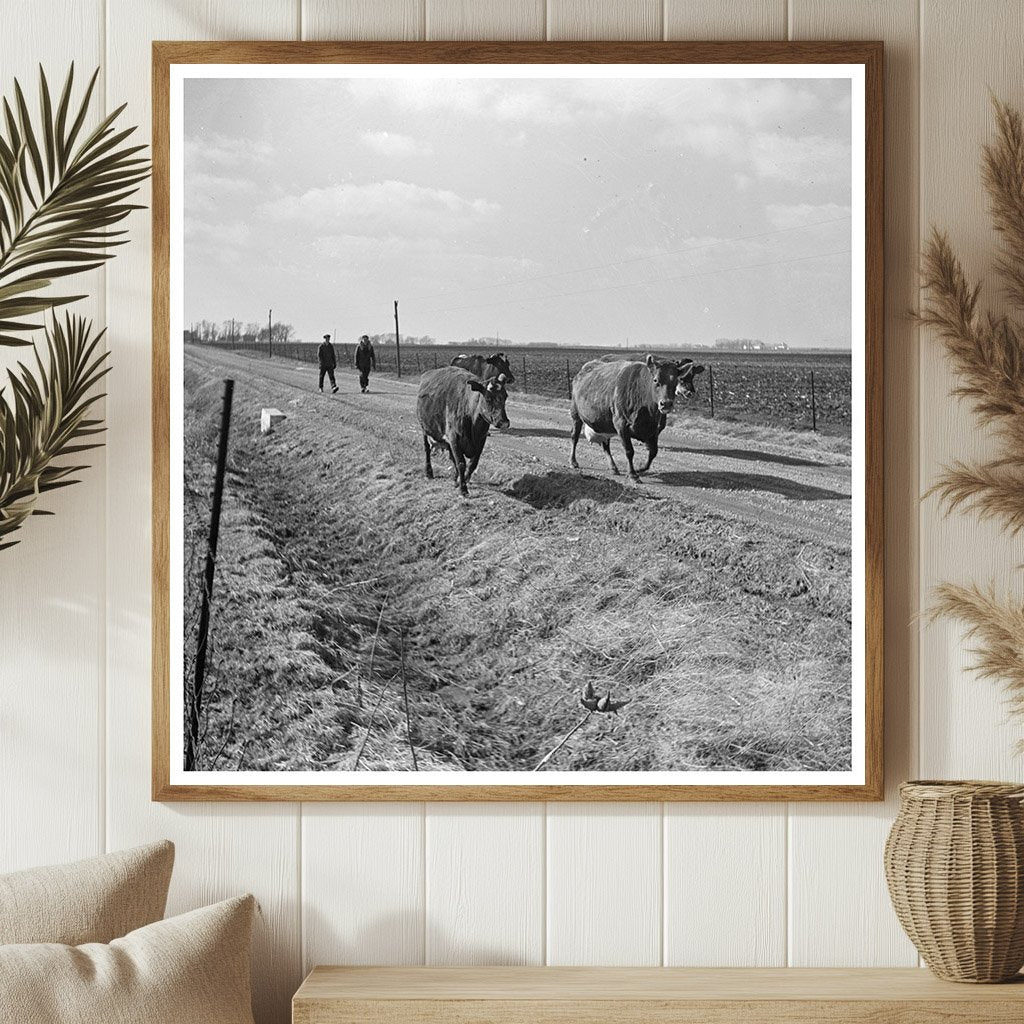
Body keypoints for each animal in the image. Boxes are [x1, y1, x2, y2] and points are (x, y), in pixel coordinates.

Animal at [569, 354, 704, 481]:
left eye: (675, 380)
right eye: (655, 380)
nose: (666, 404)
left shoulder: (653, 429)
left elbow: (653, 452)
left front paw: (640, 468)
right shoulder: (621, 425)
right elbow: (629, 451)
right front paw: (633, 474)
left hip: (604, 423)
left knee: (605, 445)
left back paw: (613, 467)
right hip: (576, 415)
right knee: (575, 437)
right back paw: (573, 461)